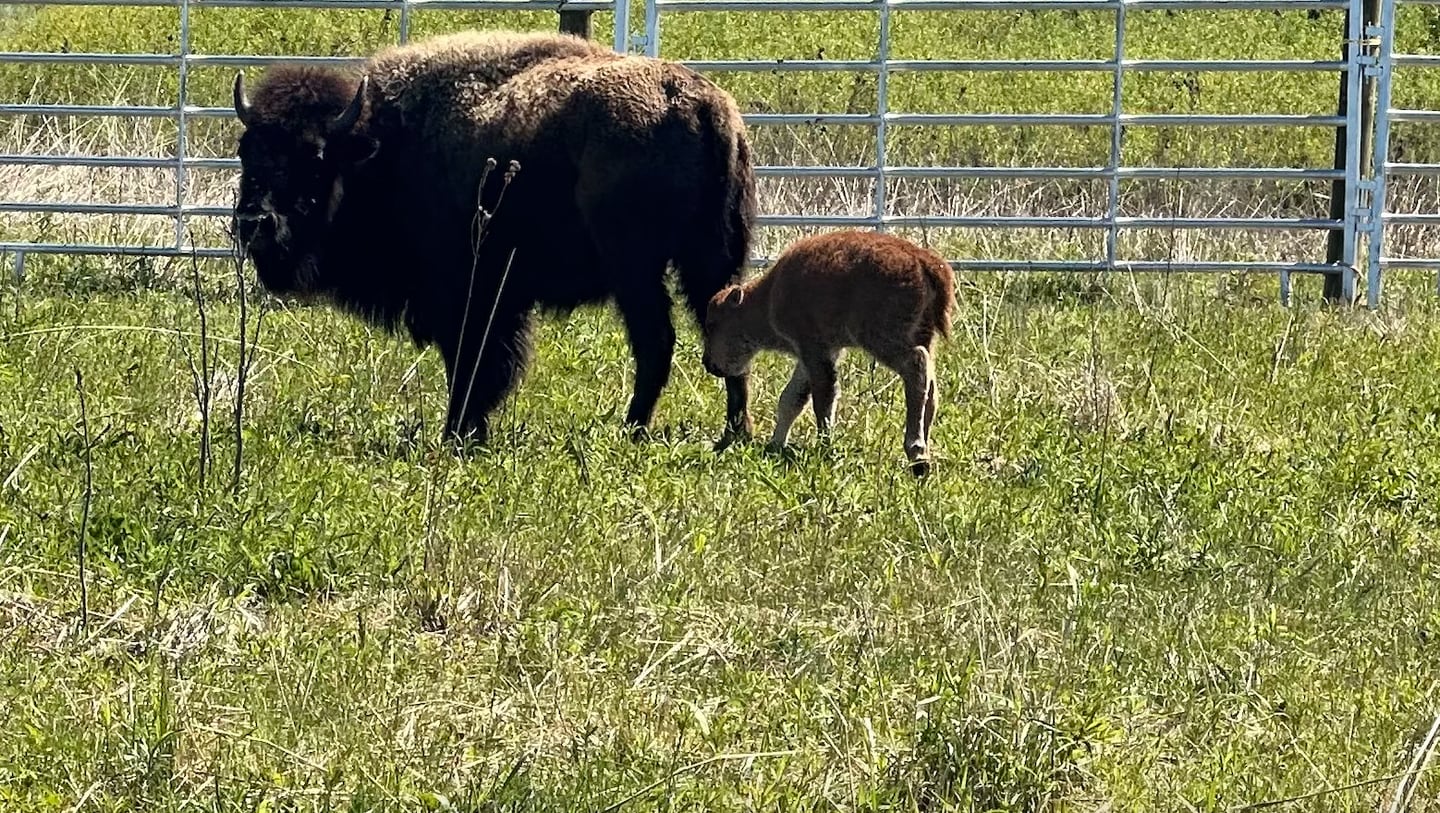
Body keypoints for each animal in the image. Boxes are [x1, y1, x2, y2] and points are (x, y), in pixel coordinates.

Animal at [230, 29, 757, 446]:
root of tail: (700, 103)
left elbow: (473, 362)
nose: (253, 222)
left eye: (315, 157)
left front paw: (459, 432)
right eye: (246, 150)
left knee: (656, 341)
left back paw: (634, 429)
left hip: (636, 269)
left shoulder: (468, 295)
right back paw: (733, 433)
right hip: (711, 260)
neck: (385, 144)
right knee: (724, 330)